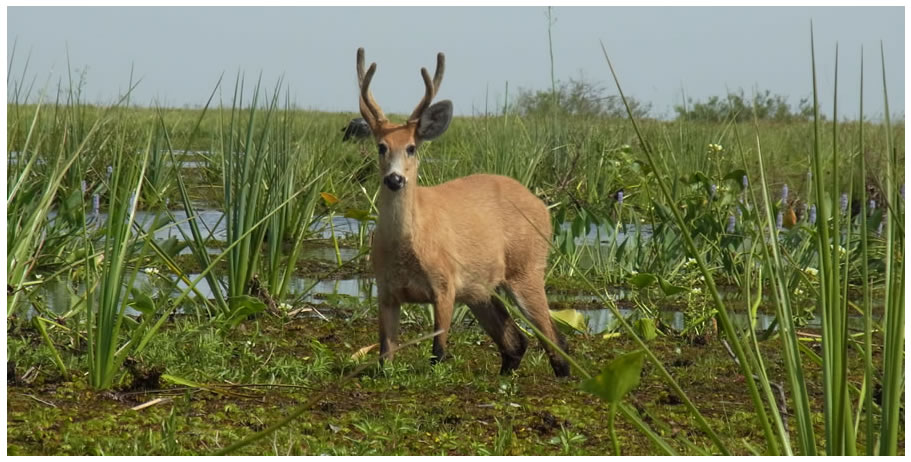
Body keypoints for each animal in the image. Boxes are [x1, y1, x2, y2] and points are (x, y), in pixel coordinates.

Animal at [356, 47, 568, 378]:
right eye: (381, 146)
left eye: (412, 147)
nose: (395, 179)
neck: (407, 245)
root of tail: (542, 206)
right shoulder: (385, 291)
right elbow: (384, 356)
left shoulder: (445, 284)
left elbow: (438, 353)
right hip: (481, 288)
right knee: (516, 340)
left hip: (527, 267)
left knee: (553, 336)